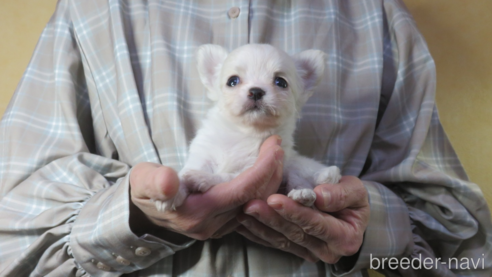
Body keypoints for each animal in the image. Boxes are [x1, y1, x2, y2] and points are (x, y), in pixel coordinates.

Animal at [156, 44, 340, 210]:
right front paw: (173, 192)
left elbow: (226, 176)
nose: (256, 91)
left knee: (306, 177)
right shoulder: (202, 156)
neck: (243, 132)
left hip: (297, 165)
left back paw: (309, 188)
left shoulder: (250, 167)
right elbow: (185, 173)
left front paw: (202, 178)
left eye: (281, 82)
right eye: (232, 81)